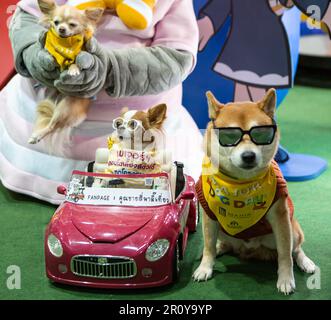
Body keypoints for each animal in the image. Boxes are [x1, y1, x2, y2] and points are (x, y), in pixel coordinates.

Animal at [193, 89, 318, 294]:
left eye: (260, 133)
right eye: (229, 137)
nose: (248, 156)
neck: (239, 184)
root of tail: (250, 250)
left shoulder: (280, 217)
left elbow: (285, 255)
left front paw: (286, 279)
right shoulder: (209, 215)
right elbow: (207, 246)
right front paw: (205, 267)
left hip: (292, 229)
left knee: (296, 249)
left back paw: (305, 262)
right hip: (224, 231)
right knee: (223, 244)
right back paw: (220, 247)